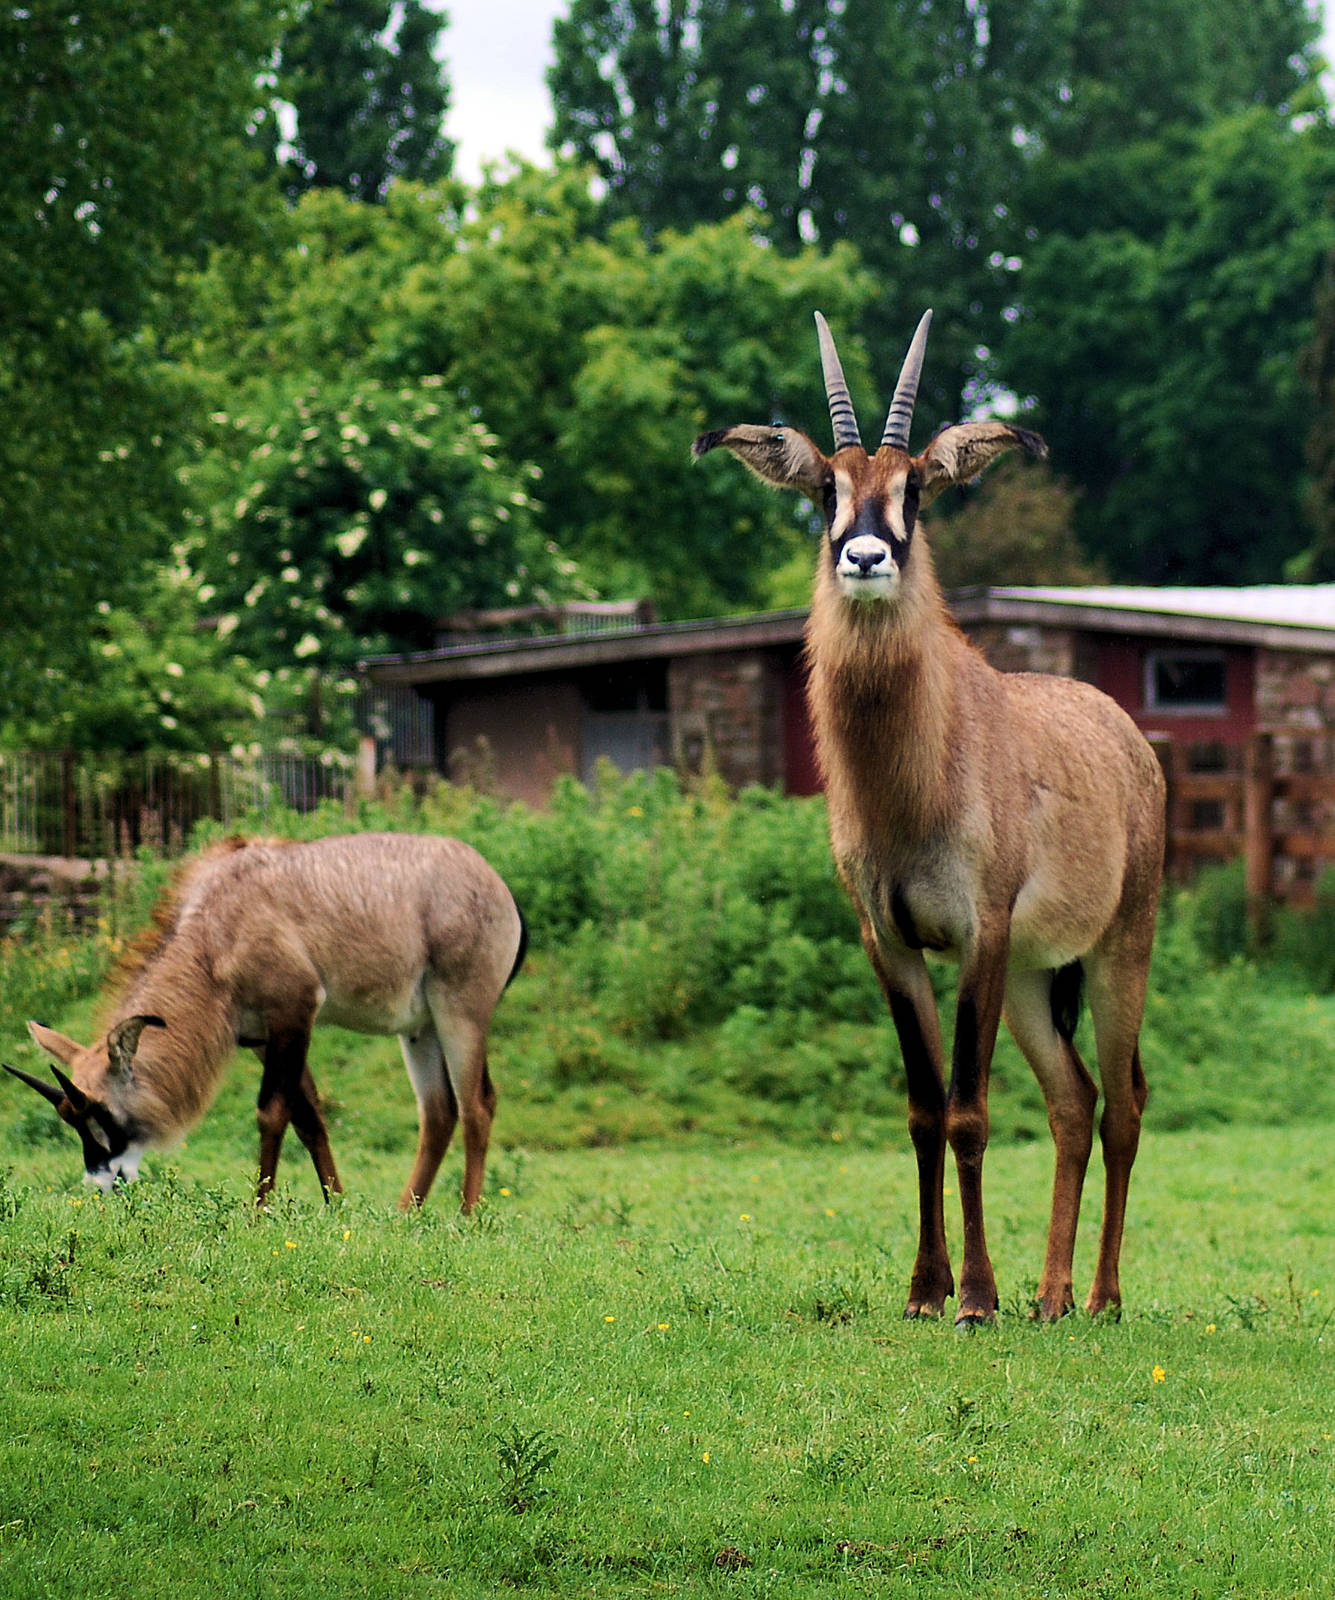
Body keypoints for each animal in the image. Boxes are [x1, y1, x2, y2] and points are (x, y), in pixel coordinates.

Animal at [5, 832, 527, 1210]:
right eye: (72, 1120)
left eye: (101, 1116)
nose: (101, 1184)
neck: (216, 927)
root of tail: (498, 887)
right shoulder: (260, 1037)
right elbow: (309, 1118)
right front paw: (337, 1207)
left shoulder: (295, 1013)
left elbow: (272, 1112)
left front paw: (259, 1208)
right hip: (420, 1029)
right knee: (439, 1112)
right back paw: (405, 1215)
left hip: (461, 1010)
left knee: (478, 1104)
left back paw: (467, 1216)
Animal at [694, 311, 1164, 1322]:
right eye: (825, 489)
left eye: (913, 487)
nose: (864, 558)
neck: (915, 776)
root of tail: (1128, 737)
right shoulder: (891, 939)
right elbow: (918, 1111)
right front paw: (924, 1289)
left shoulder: (978, 934)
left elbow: (968, 1111)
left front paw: (975, 1298)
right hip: (1035, 976)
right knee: (1072, 1101)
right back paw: (1050, 1296)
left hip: (1118, 949)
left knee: (1124, 1100)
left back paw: (1100, 1297)